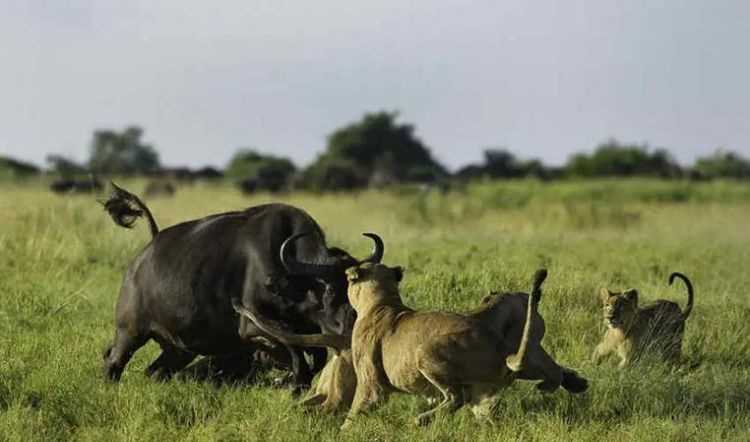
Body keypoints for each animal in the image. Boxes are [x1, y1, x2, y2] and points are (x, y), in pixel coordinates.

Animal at [101, 183, 382, 386]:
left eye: (355, 290)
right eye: (331, 291)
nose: (350, 324)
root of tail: (147, 249)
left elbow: (314, 358)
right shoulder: (253, 327)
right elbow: (295, 355)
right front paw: (289, 380)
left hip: (179, 349)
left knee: (155, 371)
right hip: (130, 333)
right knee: (112, 362)